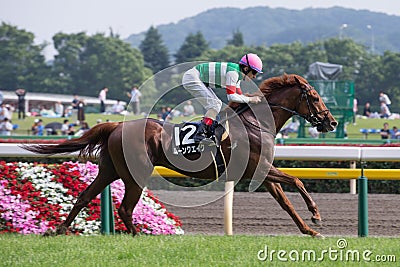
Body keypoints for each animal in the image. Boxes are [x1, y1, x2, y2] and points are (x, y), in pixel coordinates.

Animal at [23, 74, 338, 239]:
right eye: (315, 97)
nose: (332, 122)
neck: (254, 124)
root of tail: (116, 126)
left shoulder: (262, 172)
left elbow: (286, 202)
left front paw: (310, 231)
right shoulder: (255, 170)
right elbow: (297, 180)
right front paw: (317, 215)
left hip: (109, 170)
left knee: (85, 196)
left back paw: (58, 230)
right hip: (135, 173)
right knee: (125, 208)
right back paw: (139, 236)